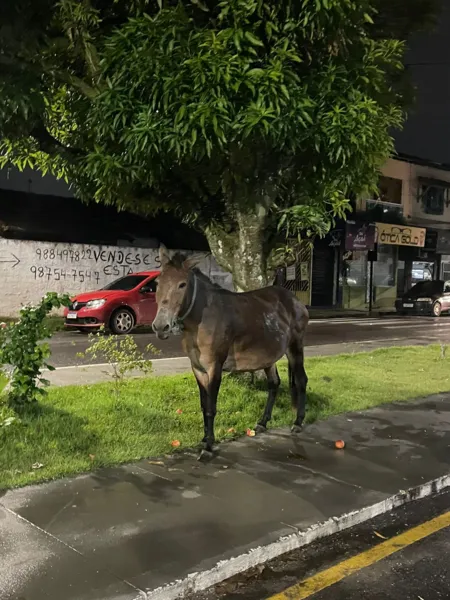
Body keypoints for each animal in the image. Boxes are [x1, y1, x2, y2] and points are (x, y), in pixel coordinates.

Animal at [153, 246, 308, 458]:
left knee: (301, 381)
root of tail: (295, 300)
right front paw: (204, 439)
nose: (161, 326)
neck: (201, 319)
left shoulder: (214, 367)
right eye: (157, 283)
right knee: (274, 383)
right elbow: (204, 405)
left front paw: (208, 447)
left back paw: (298, 423)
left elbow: (211, 407)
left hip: (295, 346)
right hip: (268, 355)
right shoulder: (197, 368)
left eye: (182, 284)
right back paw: (262, 423)